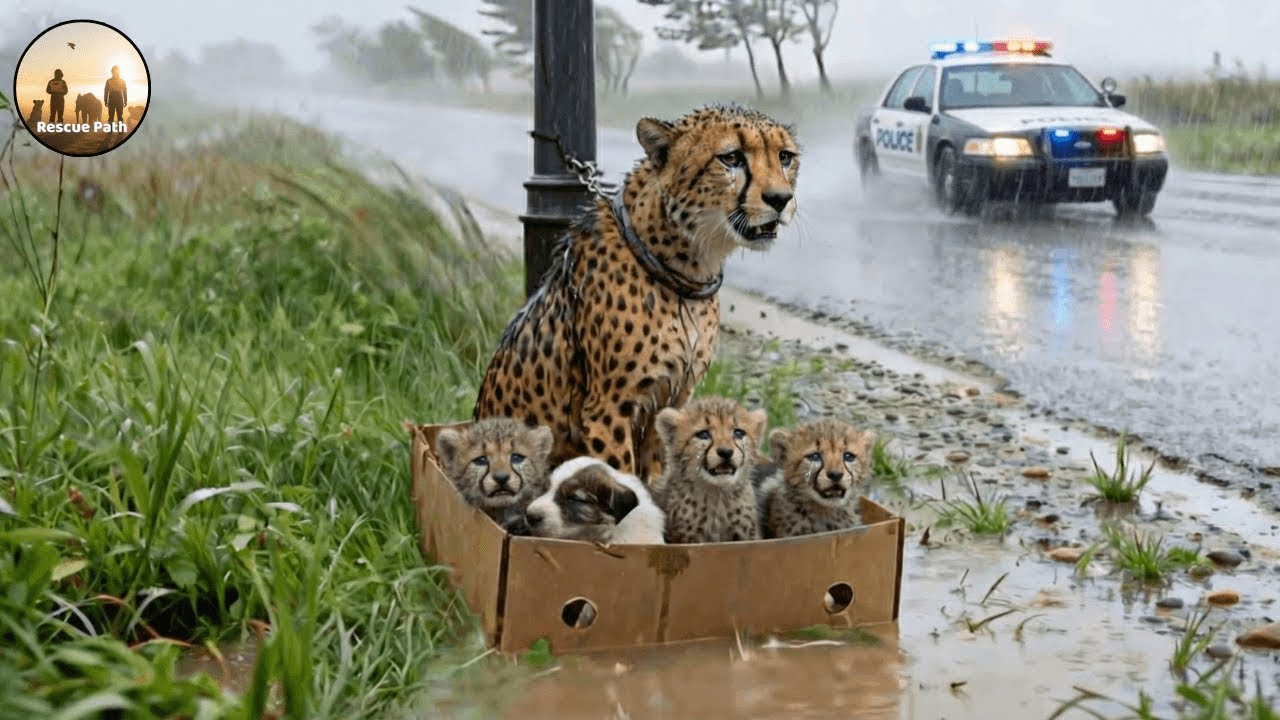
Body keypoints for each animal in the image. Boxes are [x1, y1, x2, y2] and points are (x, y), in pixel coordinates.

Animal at [473, 104, 800, 486]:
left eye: (785, 157)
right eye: (731, 157)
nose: (780, 199)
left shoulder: (671, 400)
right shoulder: (607, 410)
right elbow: (623, 476)